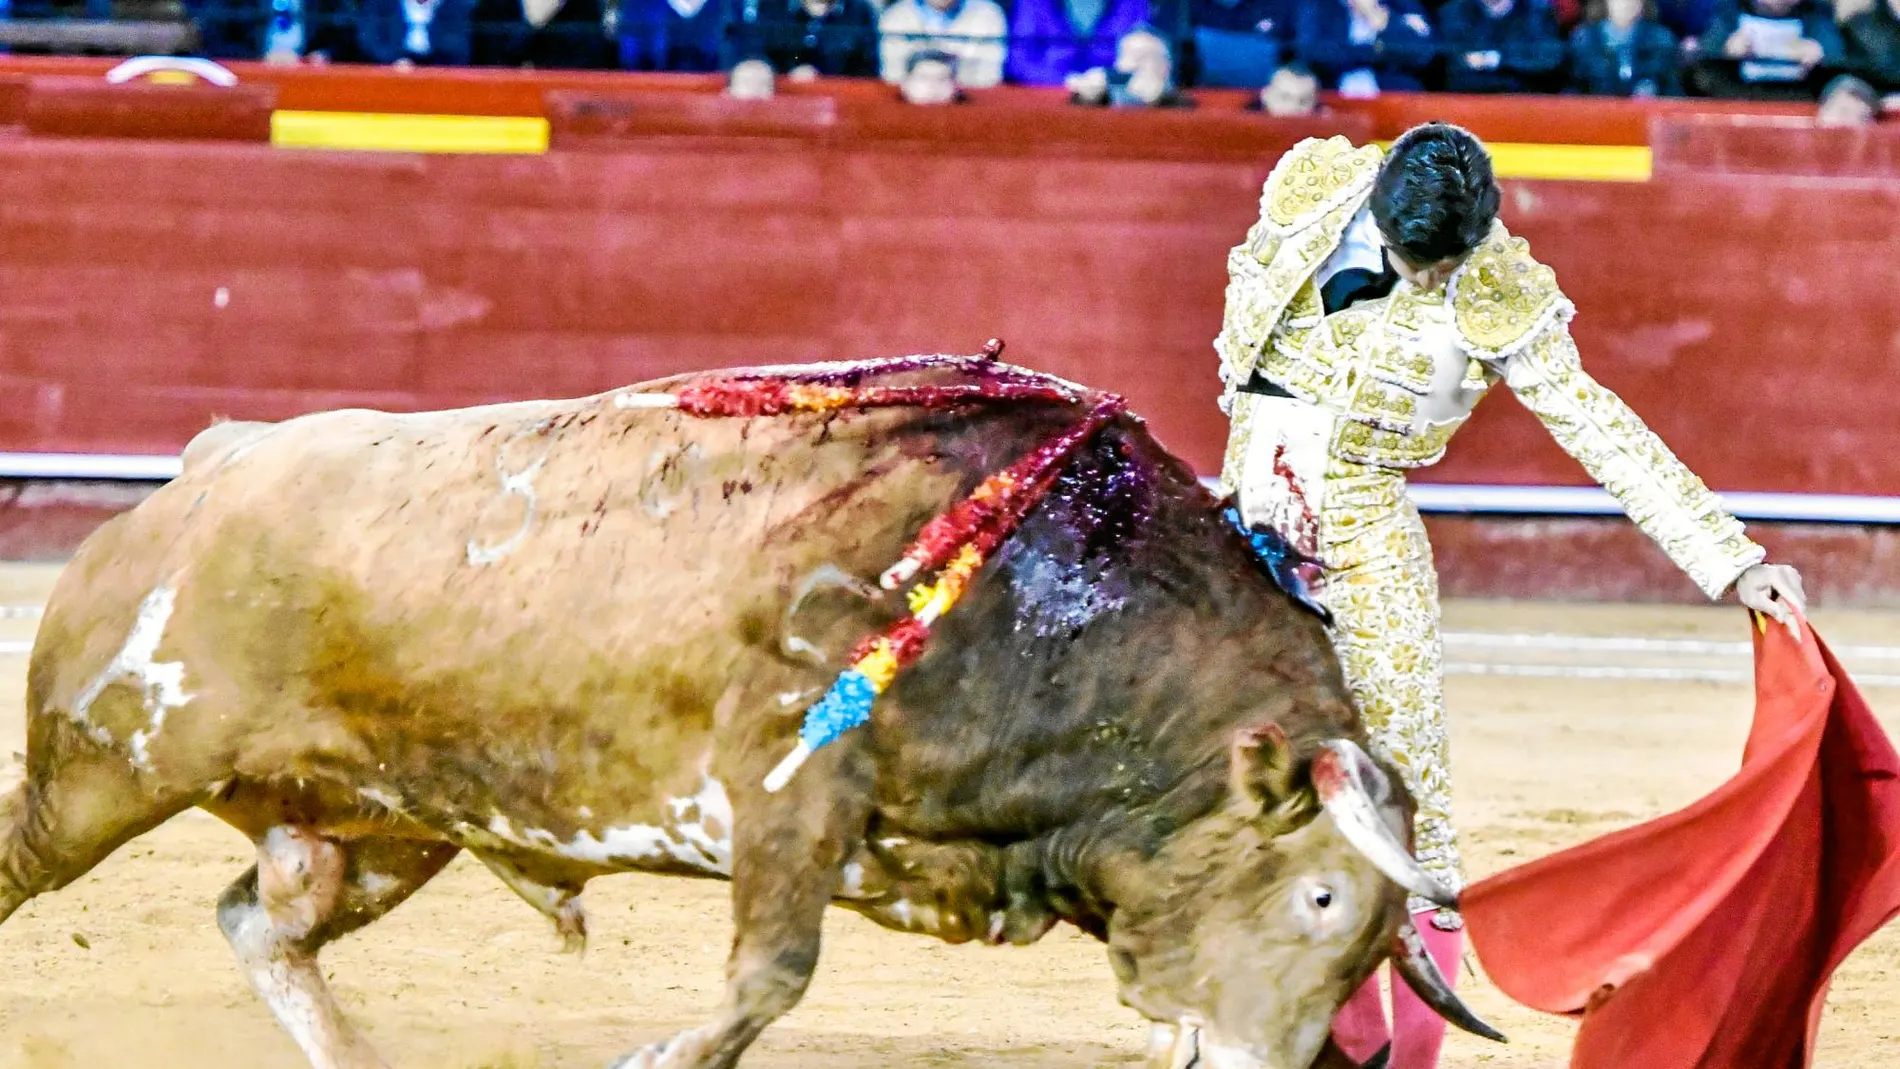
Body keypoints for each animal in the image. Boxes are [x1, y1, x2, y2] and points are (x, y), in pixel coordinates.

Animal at [0, 358, 1497, 1069]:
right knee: (28, 862)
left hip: (381, 824)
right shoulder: (786, 793)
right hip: (105, 764)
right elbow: (771, 975)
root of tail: (214, 462)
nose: (1262, 1060)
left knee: (261, 923)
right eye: (1318, 899)